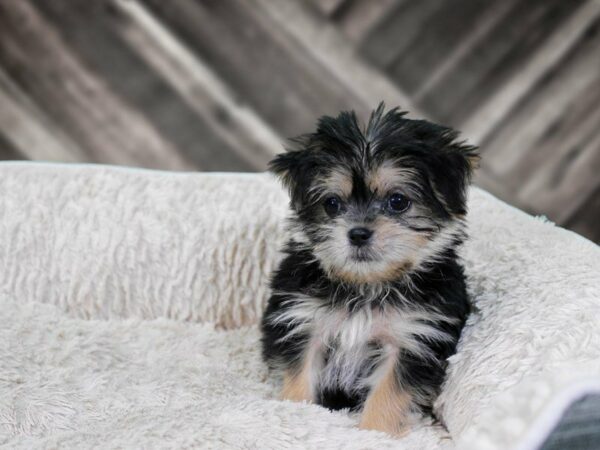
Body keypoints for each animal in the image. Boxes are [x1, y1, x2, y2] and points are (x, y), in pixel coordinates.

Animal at [260, 104, 476, 436]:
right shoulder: (303, 321)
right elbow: (299, 373)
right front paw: (297, 413)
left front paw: (375, 432)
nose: (358, 234)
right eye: (332, 204)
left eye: (398, 201)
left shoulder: (414, 338)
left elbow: (389, 392)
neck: (366, 284)